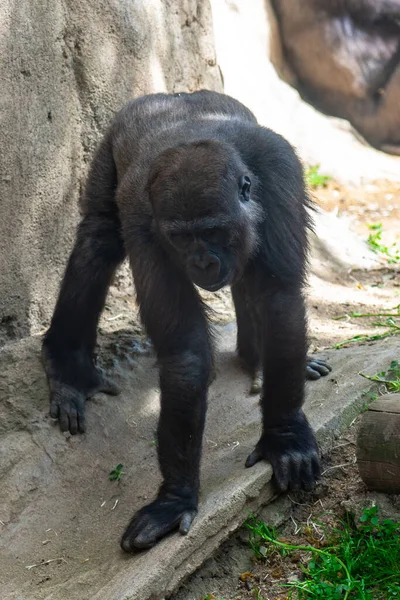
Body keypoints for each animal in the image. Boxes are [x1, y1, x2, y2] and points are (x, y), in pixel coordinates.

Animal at [43, 90, 332, 552]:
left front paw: (285, 436)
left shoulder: (280, 173)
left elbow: (279, 303)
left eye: (213, 231)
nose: (202, 262)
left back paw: (258, 359)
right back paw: (68, 367)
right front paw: (175, 498)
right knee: (98, 237)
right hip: (111, 142)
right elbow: (186, 350)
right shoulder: (144, 220)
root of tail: (175, 95)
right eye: (180, 237)